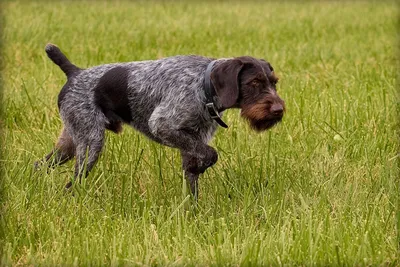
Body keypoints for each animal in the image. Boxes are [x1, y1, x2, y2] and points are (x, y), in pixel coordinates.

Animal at [35, 44, 284, 199]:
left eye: (274, 82)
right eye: (254, 82)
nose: (279, 110)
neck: (204, 87)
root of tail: (75, 72)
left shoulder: (193, 140)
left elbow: (192, 182)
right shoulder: (163, 126)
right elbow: (211, 154)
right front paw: (202, 167)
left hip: (70, 142)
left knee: (40, 165)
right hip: (90, 143)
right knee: (73, 181)